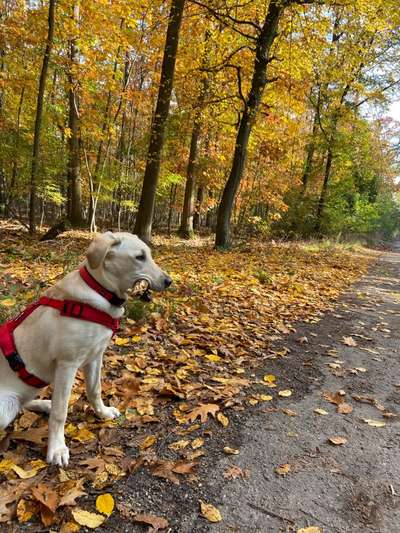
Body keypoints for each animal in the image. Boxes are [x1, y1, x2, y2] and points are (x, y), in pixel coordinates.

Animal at [0, 231, 170, 464]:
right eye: (140, 257)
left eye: (149, 255)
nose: (169, 281)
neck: (100, 291)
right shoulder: (67, 365)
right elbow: (60, 412)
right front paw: (57, 448)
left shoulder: (95, 357)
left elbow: (94, 390)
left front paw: (102, 413)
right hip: (3, 408)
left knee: (23, 404)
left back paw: (44, 404)